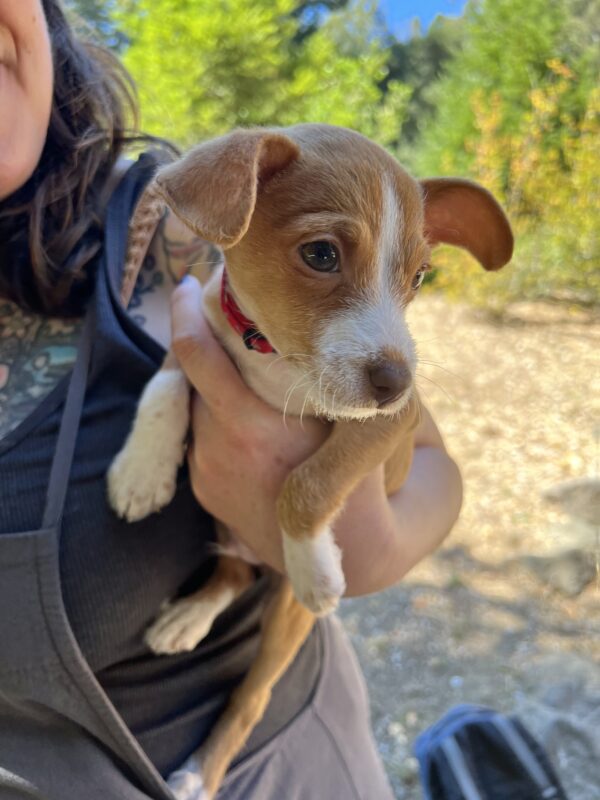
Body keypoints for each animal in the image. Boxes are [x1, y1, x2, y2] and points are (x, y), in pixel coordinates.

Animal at [106, 122, 510, 796]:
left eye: (419, 277)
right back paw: (189, 615)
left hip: (286, 623)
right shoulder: (194, 339)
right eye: (321, 255)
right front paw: (141, 470)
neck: (268, 355)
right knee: (234, 572)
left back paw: (200, 772)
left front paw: (316, 565)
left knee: (252, 696)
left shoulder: (387, 425)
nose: (396, 382)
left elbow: (308, 482)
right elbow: (163, 385)